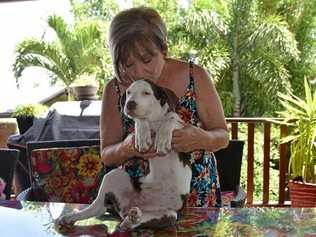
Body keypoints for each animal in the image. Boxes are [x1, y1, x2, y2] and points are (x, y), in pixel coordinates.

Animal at [56, 78, 193, 231]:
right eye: (128, 93)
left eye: (147, 93)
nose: (129, 104)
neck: (154, 121)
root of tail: (128, 208)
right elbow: (140, 119)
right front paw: (142, 135)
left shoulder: (185, 132)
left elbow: (171, 117)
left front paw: (163, 138)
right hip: (114, 175)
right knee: (98, 208)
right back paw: (71, 217)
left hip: (170, 214)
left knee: (145, 219)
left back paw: (132, 218)